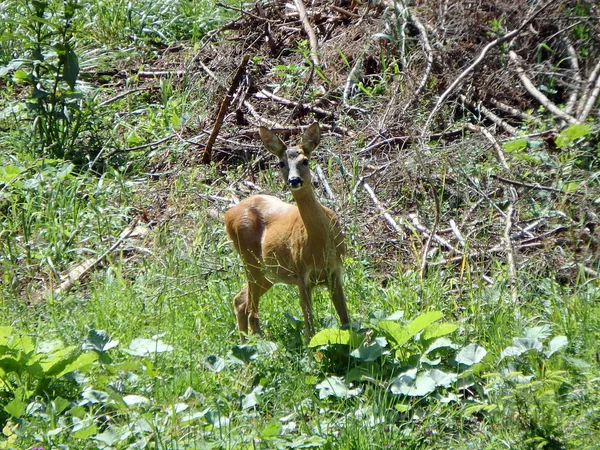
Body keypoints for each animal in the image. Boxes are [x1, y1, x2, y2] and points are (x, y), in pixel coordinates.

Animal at [225, 122, 350, 342]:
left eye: (305, 160)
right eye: (281, 163)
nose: (294, 180)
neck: (319, 244)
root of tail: (227, 214)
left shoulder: (335, 271)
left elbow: (345, 318)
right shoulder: (301, 272)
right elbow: (309, 325)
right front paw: (313, 350)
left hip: (268, 273)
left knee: (240, 300)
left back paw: (243, 345)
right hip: (250, 261)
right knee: (251, 312)